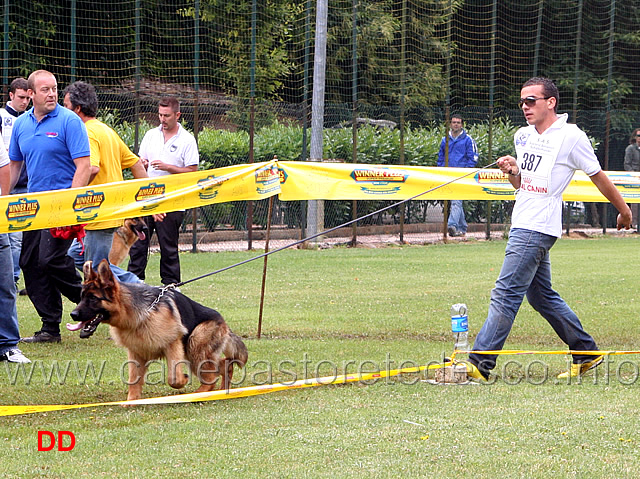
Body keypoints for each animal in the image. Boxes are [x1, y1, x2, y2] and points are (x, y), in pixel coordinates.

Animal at [69, 260, 249, 400]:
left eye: (93, 298)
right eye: (82, 297)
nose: (73, 314)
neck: (137, 315)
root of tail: (224, 323)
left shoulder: (173, 345)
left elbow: (174, 378)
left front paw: (183, 380)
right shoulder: (136, 353)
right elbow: (134, 381)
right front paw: (131, 402)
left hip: (194, 344)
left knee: (211, 376)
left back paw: (199, 394)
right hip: (192, 352)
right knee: (225, 364)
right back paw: (221, 391)